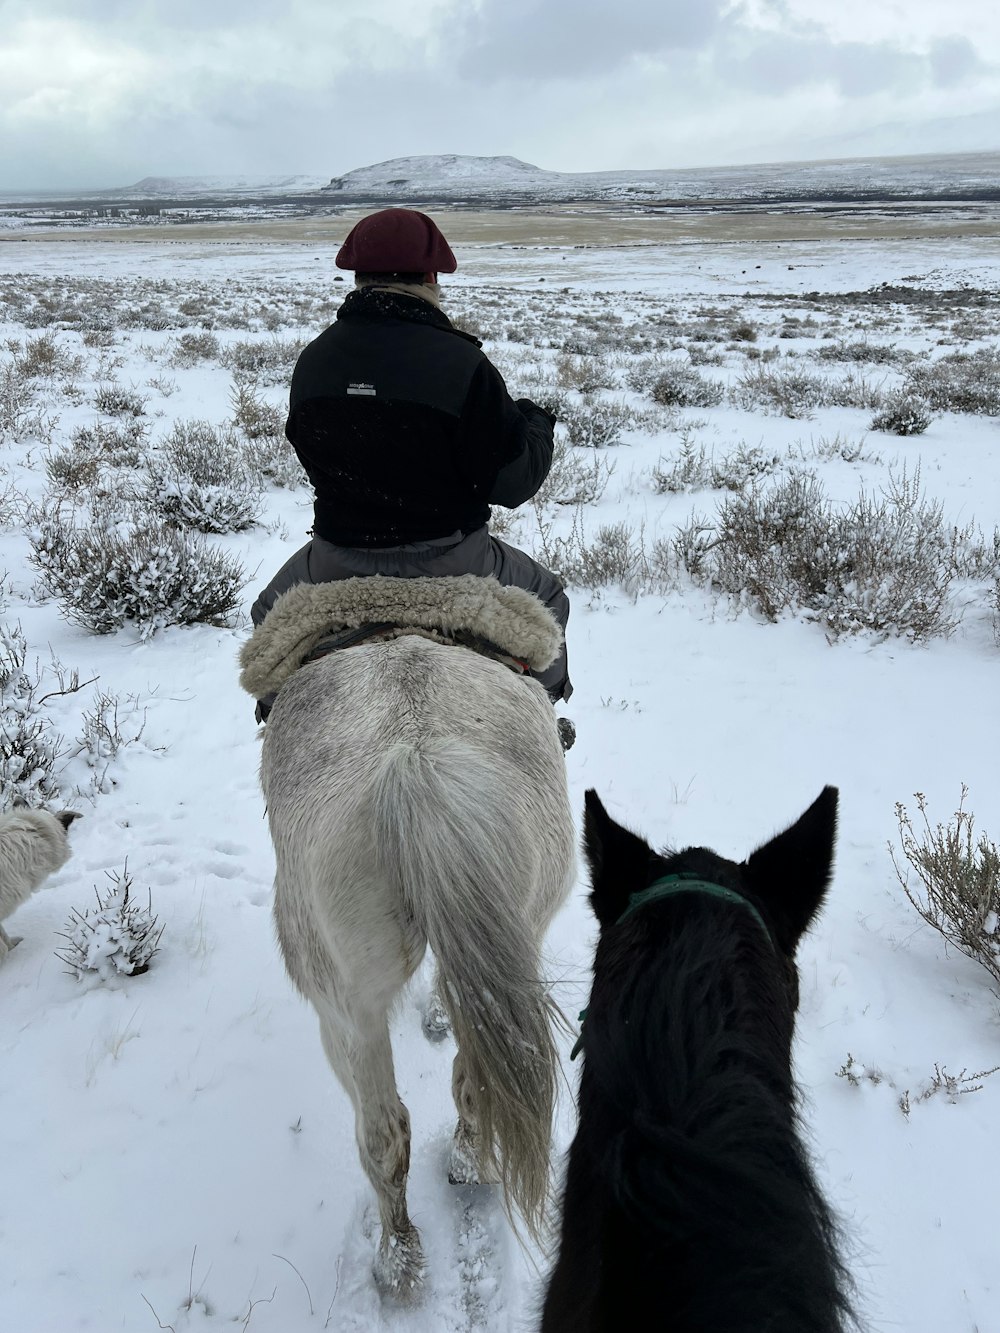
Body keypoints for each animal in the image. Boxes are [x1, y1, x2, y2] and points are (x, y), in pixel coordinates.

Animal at [241, 575, 578, 1301]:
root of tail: (418, 765)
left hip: (347, 1004)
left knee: (382, 1132)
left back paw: (397, 1261)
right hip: (522, 918)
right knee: (474, 1081)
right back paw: (467, 1165)